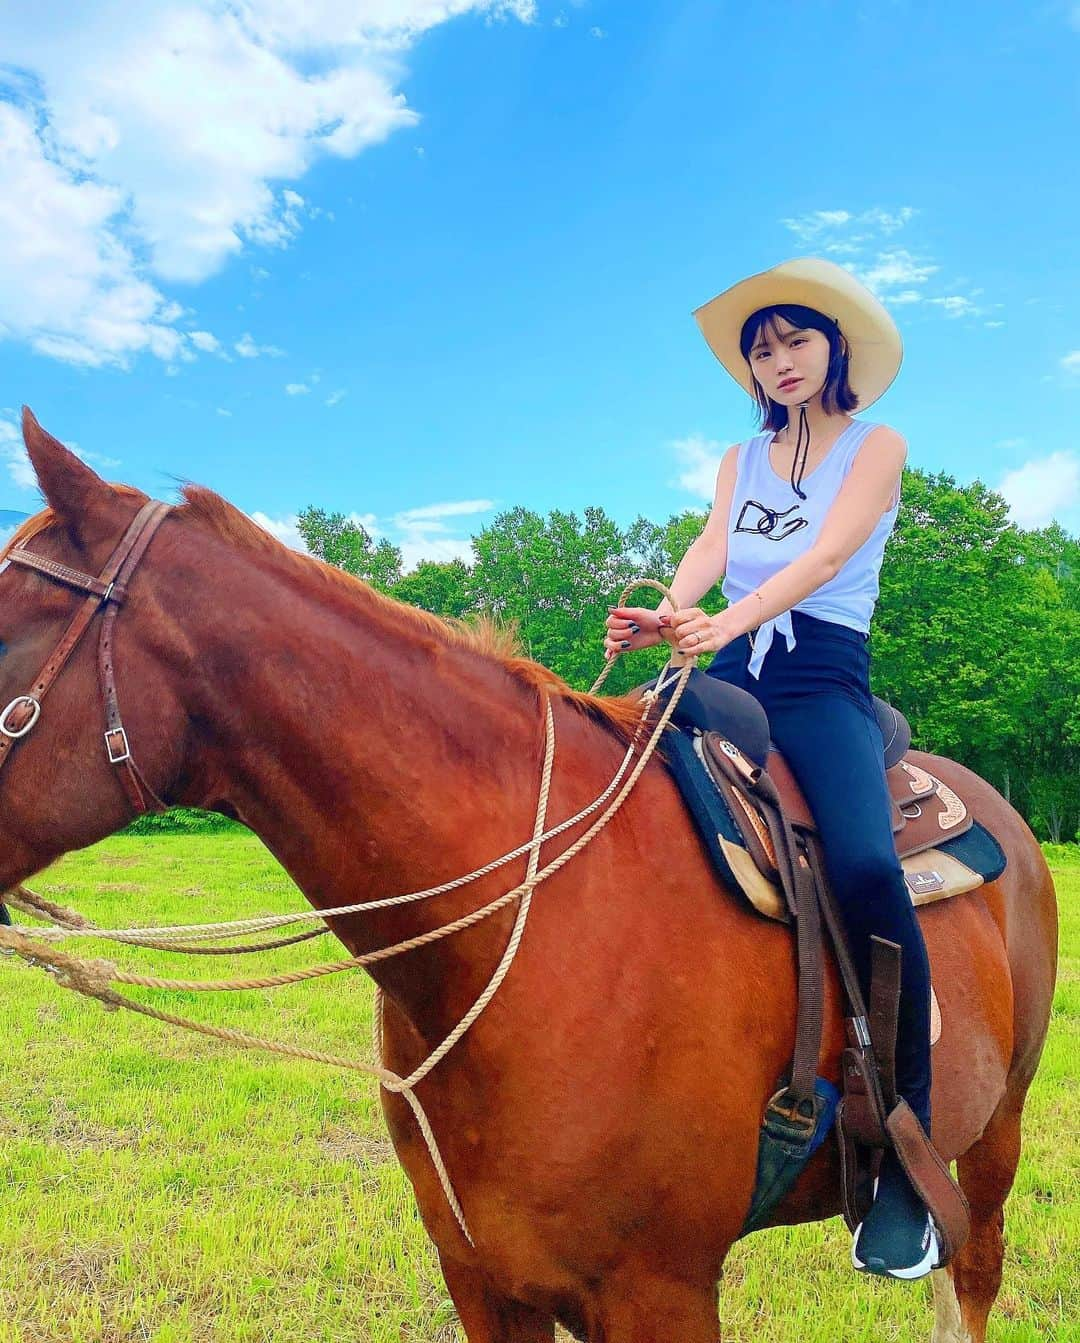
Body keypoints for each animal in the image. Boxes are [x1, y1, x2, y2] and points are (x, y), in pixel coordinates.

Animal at [0, 410, 1058, 1343]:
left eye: (8, 631)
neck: (525, 932)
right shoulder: (483, 1275)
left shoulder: (659, 1292)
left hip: (994, 1134)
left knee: (971, 1273)